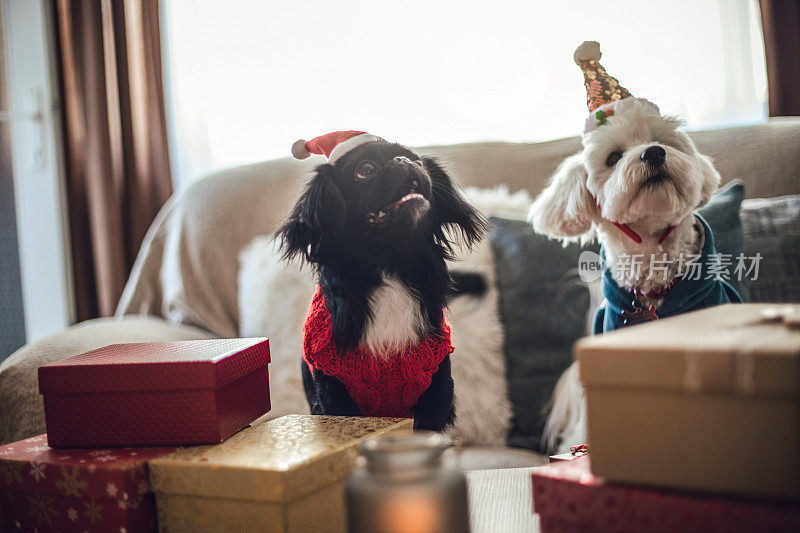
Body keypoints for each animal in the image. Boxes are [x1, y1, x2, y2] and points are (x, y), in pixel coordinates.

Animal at [278, 138, 484, 432]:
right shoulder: (332, 391)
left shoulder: (439, 385)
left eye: (419, 162)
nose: (406, 161)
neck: (389, 268)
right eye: (365, 169)